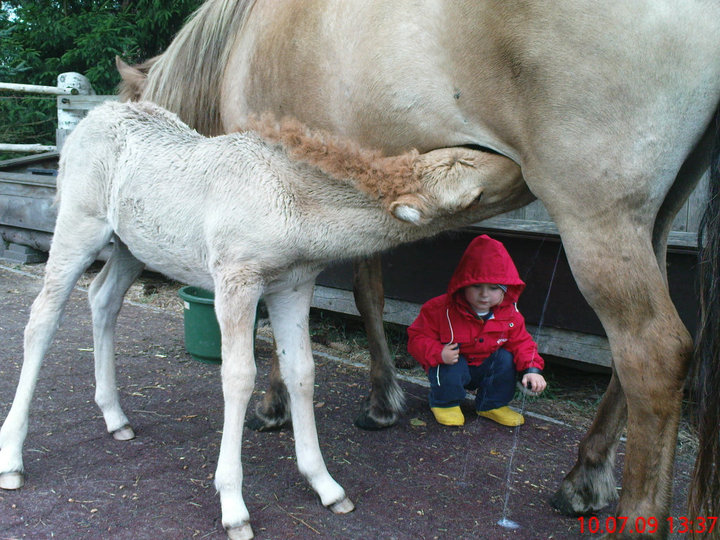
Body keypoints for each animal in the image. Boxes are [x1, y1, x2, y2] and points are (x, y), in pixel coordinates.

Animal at [0, 101, 524, 540]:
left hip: (132, 246)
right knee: (43, 318)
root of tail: (91, 118)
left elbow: (301, 373)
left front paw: (326, 485)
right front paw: (233, 506)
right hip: (78, 227)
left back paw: (115, 416)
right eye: (474, 191)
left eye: (467, 152)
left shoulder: (293, 286)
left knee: (103, 299)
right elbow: (238, 375)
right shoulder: (237, 279)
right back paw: (12, 457)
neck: (294, 203)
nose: (520, 167)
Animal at [118, 1, 720, 536]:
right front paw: (382, 399)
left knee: (654, 353)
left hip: (594, 215)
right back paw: (586, 477)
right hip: (651, 218)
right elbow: (368, 291)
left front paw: (275, 405)